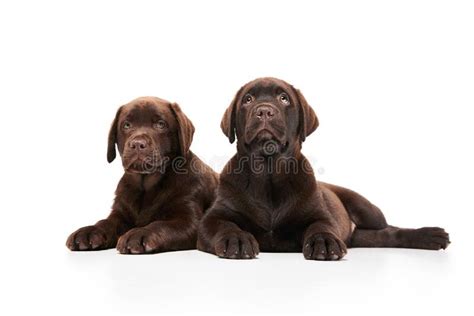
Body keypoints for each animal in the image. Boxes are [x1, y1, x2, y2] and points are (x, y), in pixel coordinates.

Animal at [67, 97, 218, 254]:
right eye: (127, 125)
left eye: (160, 124)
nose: (138, 144)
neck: (146, 186)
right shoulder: (120, 213)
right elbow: (106, 222)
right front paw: (89, 231)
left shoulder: (189, 220)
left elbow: (160, 224)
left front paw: (139, 233)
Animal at [198, 78, 450, 260]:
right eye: (248, 99)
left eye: (284, 98)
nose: (265, 111)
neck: (268, 173)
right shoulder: (213, 218)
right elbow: (224, 225)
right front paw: (237, 239)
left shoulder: (319, 215)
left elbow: (321, 226)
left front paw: (324, 242)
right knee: (380, 237)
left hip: (368, 210)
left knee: (390, 229)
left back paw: (429, 235)